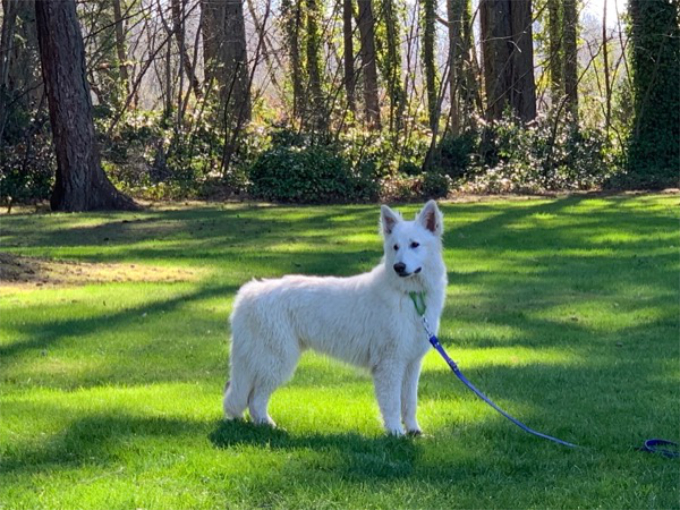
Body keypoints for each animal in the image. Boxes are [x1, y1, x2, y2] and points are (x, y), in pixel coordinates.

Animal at [223, 201, 446, 436]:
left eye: (415, 244)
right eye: (395, 247)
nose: (399, 267)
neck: (409, 294)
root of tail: (247, 294)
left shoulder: (411, 363)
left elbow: (409, 402)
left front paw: (413, 430)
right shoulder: (390, 363)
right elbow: (393, 403)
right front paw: (395, 432)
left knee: (251, 397)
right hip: (276, 360)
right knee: (255, 398)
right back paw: (268, 425)